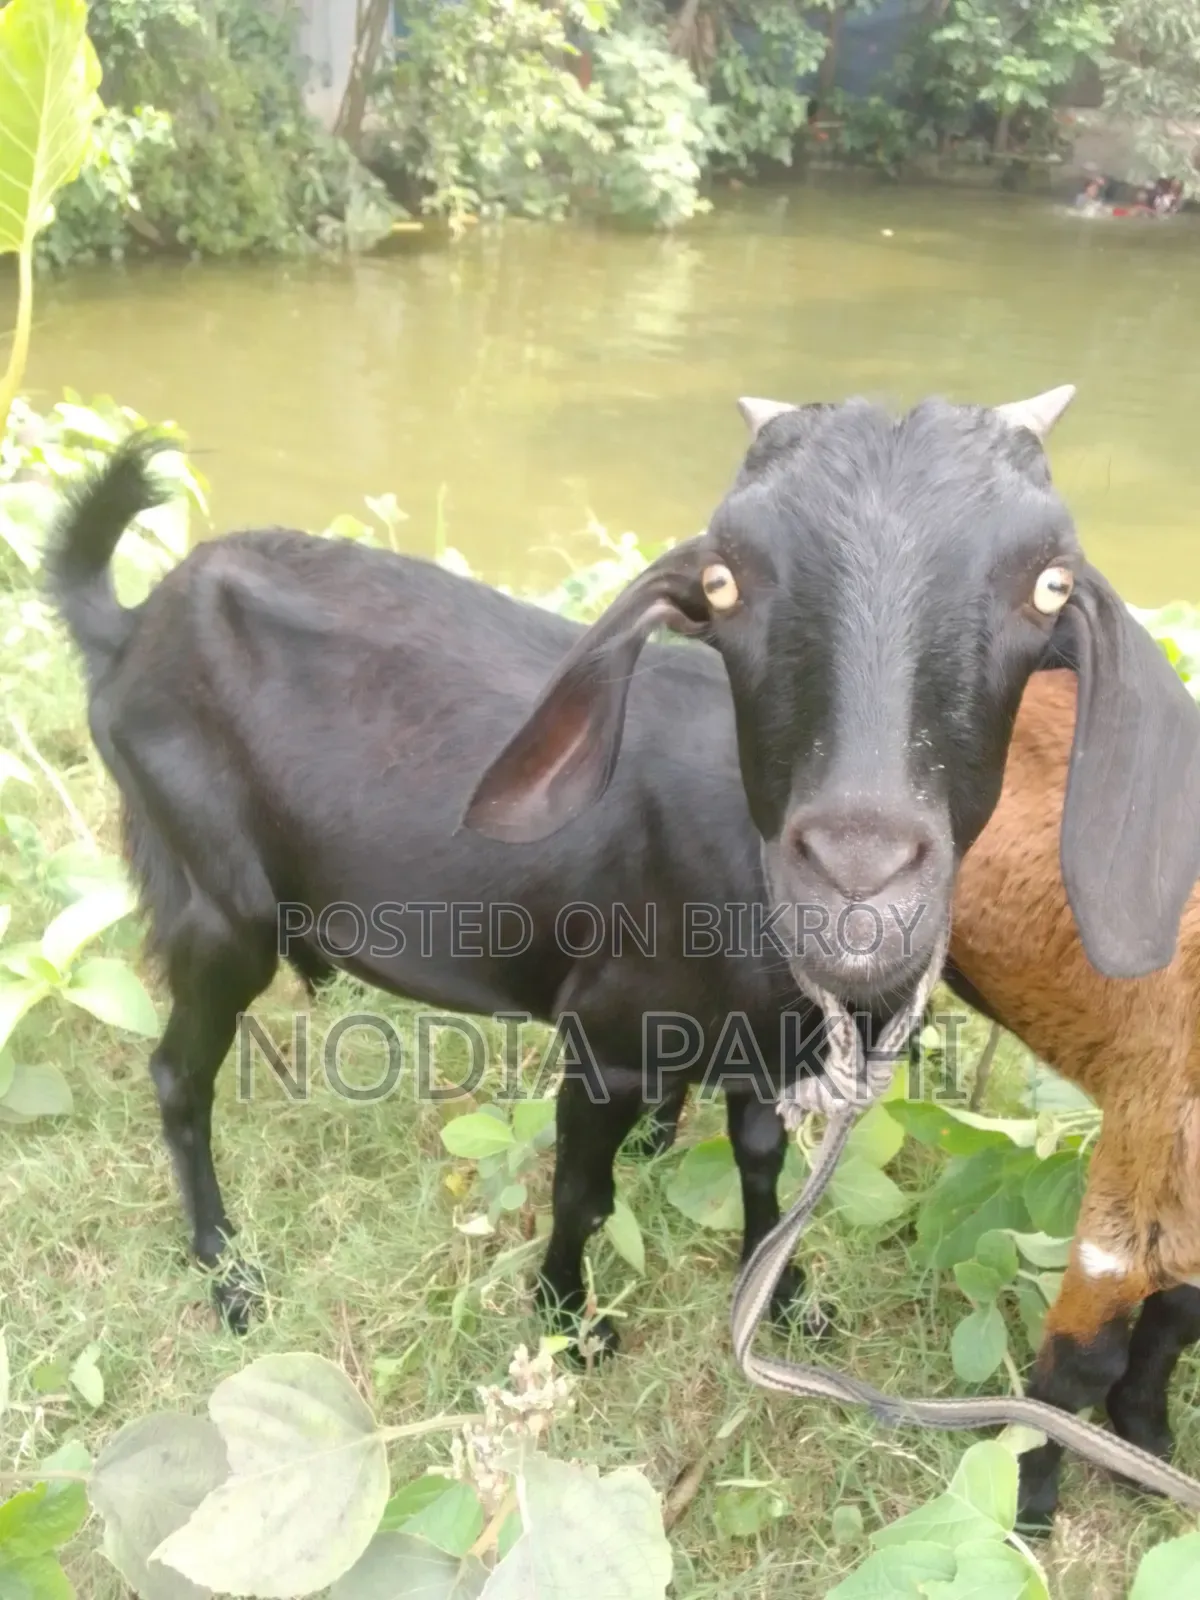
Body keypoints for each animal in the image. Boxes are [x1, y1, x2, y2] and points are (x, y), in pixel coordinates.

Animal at [46, 390, 1200, 1389]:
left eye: (1050, 587)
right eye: (723, 582)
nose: (859, 865)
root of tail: (133, 624)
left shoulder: (760, 1047)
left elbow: (762, 1162)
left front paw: (783, 1300)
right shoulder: (602, 1033)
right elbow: (581, 1191)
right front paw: (566, 1323)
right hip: (213, 892)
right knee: (177, 1072)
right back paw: (226, 1270)